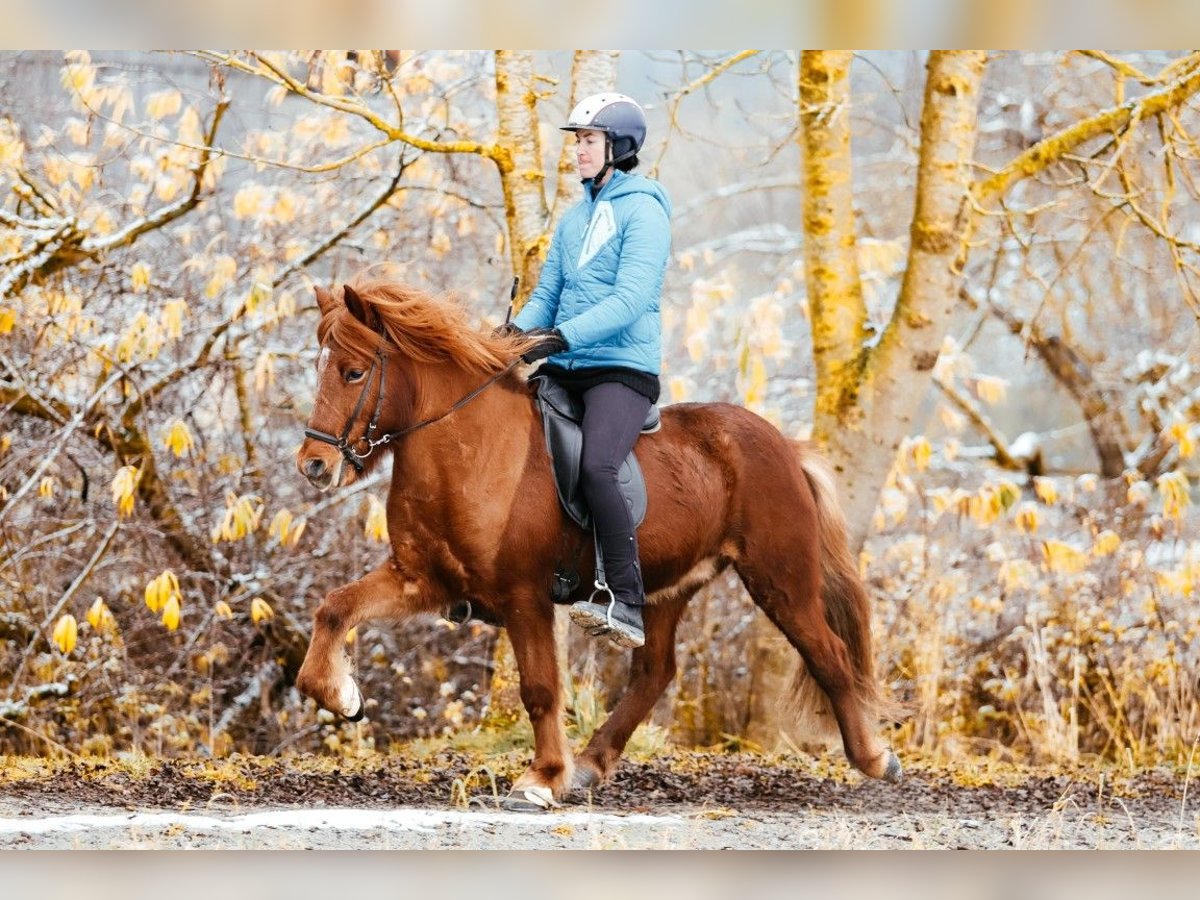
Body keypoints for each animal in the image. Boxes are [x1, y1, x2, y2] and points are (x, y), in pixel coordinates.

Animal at [294, 277, 901, 810]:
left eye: (353, 372)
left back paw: (875, 758)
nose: (313, 466)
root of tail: (783, 446)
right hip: (665, 588)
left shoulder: (524, 596)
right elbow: (333, 610)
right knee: (654, 673)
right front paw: (344, 696)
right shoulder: (422, 579)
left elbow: (540, 689)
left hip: (780, 579)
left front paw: (540, 780)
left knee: (829, 656)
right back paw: (590, 765)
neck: (468, 452)